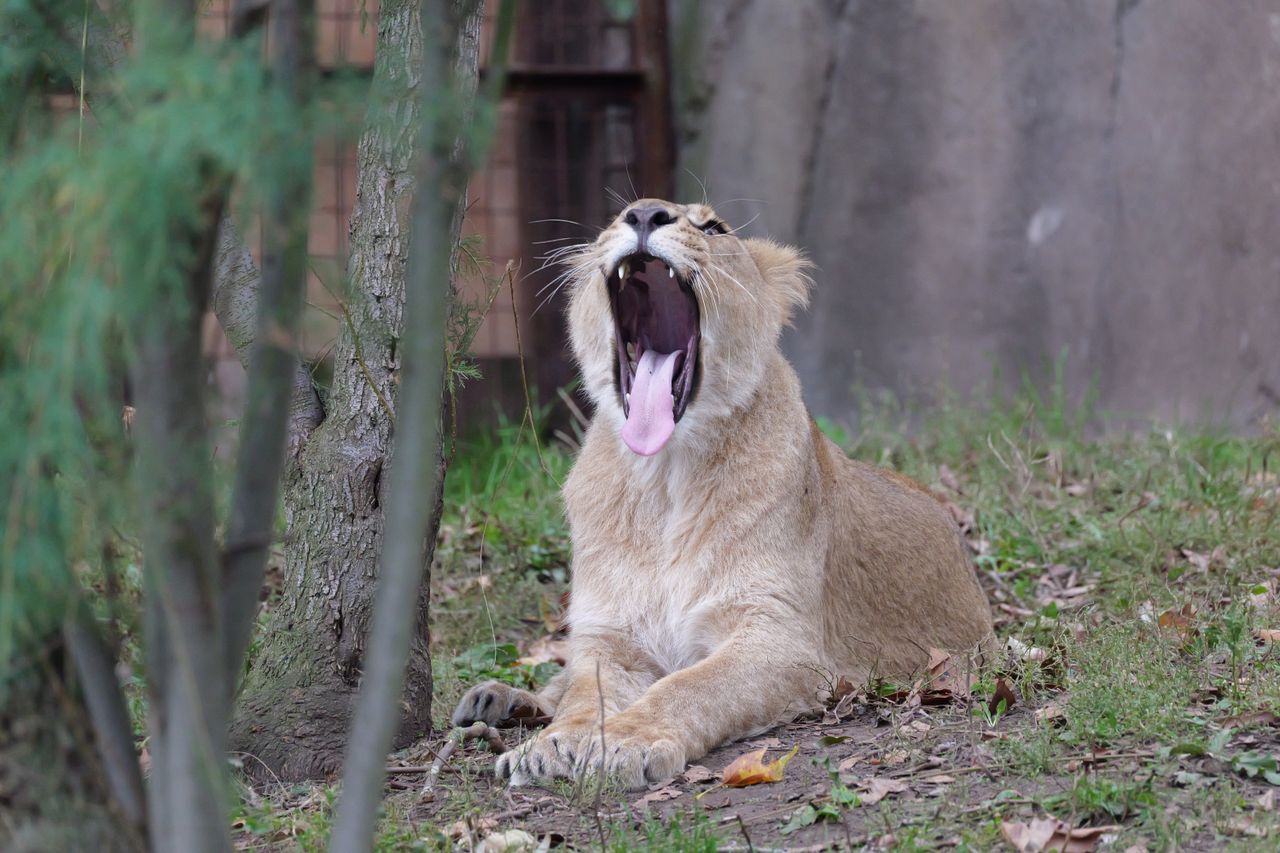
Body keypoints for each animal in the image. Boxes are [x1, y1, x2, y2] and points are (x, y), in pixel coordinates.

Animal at [452, 199, 994, 789]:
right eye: (619, 215)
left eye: (713, 228)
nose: (645, 212)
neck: (665, 479)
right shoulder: (609, 637)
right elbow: (583, 693)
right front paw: (554, 745)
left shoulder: (781, 639)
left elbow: (689, 686)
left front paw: (624, 741)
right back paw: (497, 699)